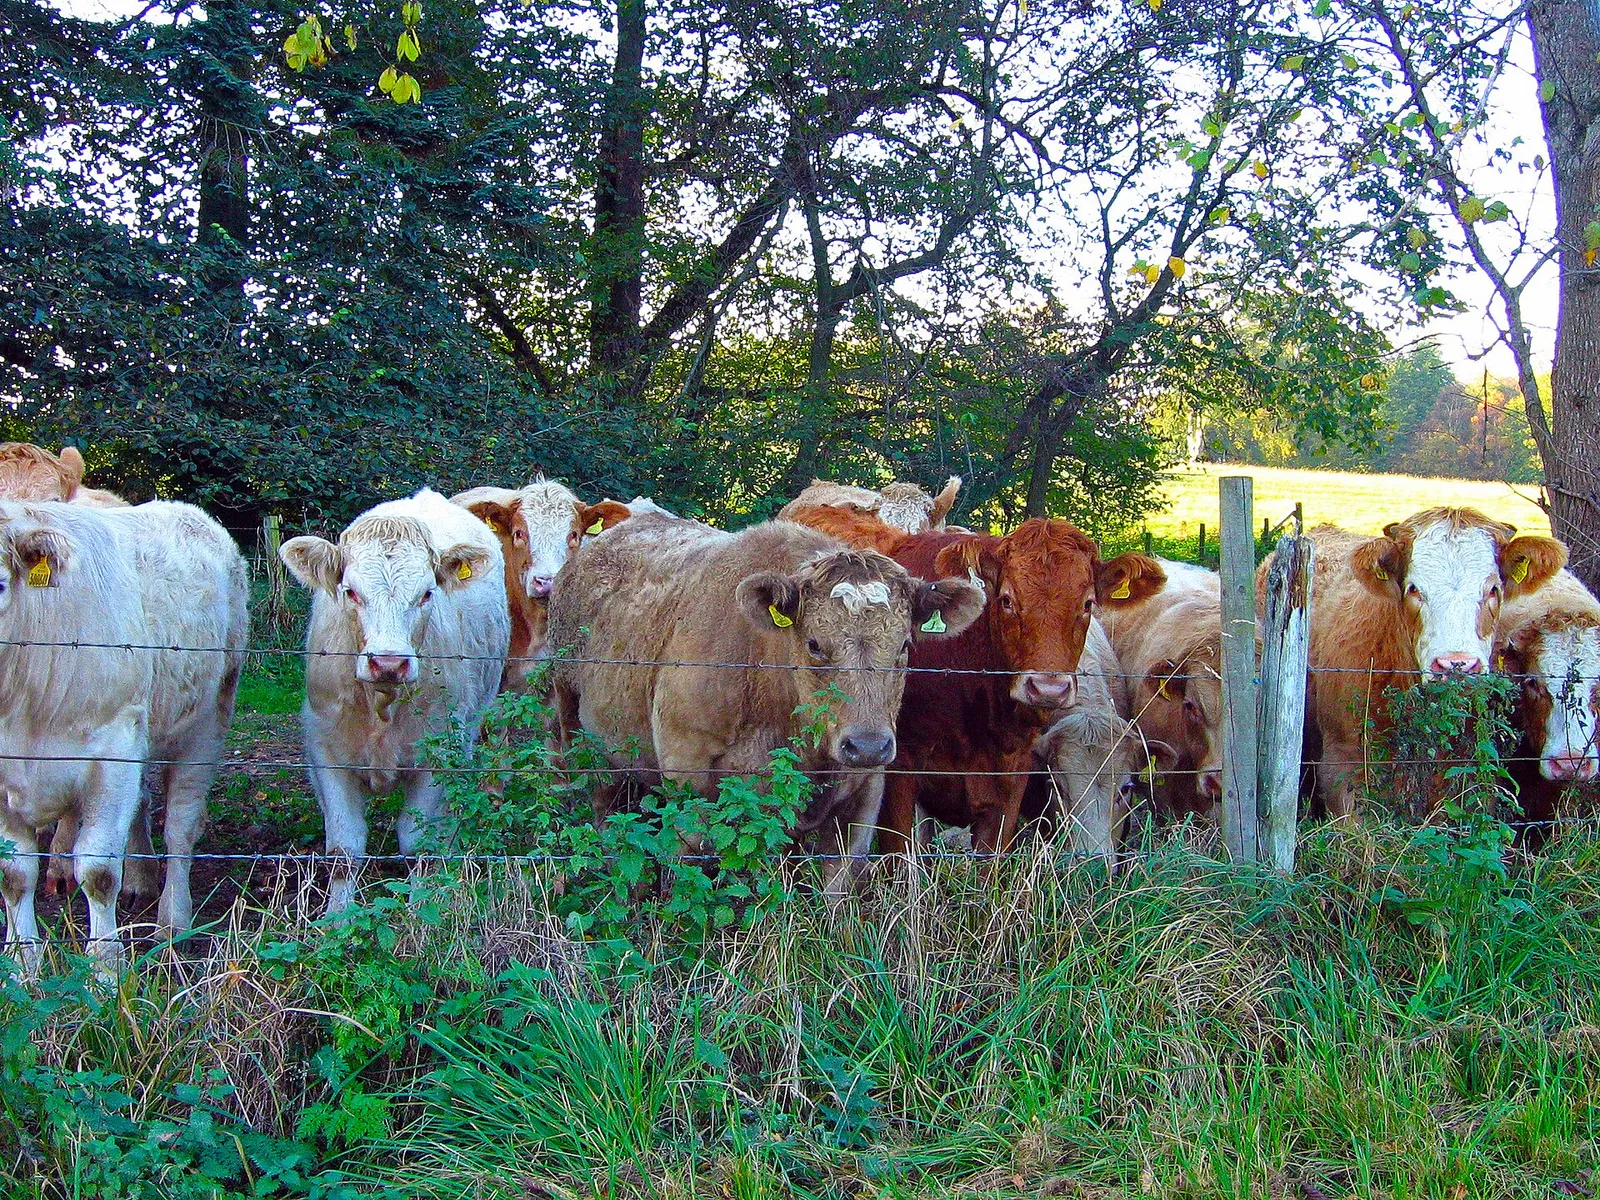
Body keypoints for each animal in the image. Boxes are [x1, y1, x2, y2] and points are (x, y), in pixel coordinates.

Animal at [280, 488, 510, 912]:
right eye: (350, 591)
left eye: (427, 594)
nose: (388, 662)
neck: (380, 706)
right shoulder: (326, 751)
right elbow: (344, 849)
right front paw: (337, 918)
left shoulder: (438, 753)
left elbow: (418, 843)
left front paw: (421, 911)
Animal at [546, 512, 984, 892]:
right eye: (814, 645)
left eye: (905, 645)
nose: (866, 744)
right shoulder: (688, 773)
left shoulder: (867, 790)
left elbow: (837, 884)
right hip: (575, 730)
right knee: (602, 809)